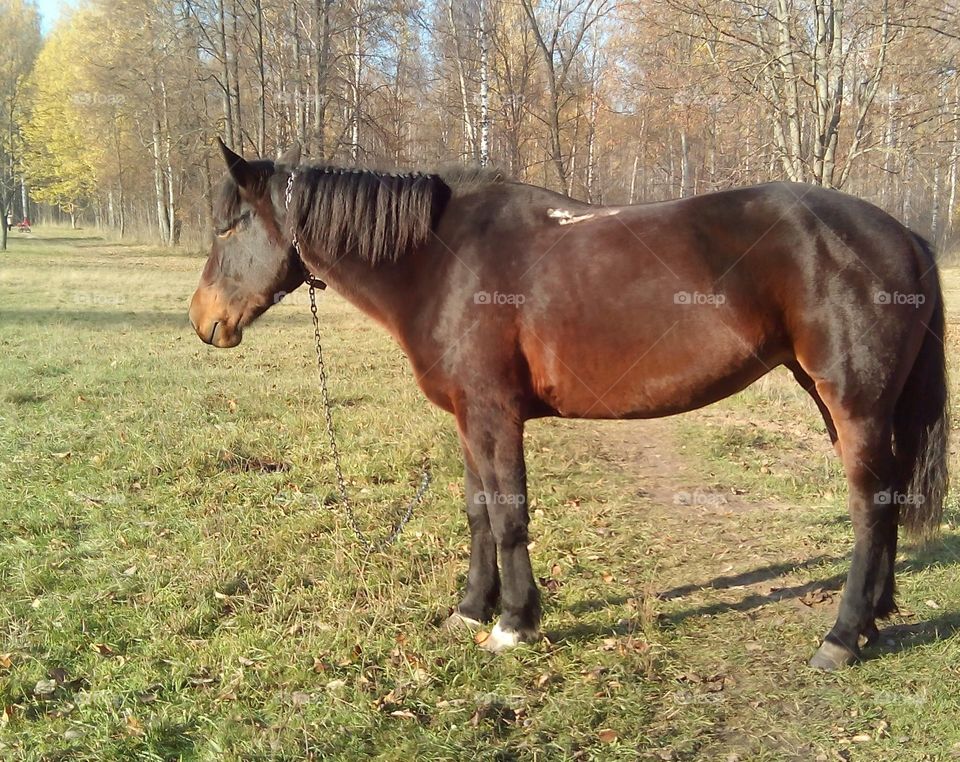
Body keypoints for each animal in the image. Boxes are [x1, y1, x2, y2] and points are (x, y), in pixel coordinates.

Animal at [188, 140, 944, 668]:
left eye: (228, 227)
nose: (203, 320)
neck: (442, 261)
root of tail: (903, 234)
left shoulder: (494, 414)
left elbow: (509, 515)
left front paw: (514, 624)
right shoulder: (469, 416)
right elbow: (478, 514)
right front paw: (470, 610)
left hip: (854, 404)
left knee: (869, 509)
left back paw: (841, 636)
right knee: (884, 504)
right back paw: (875, 618)